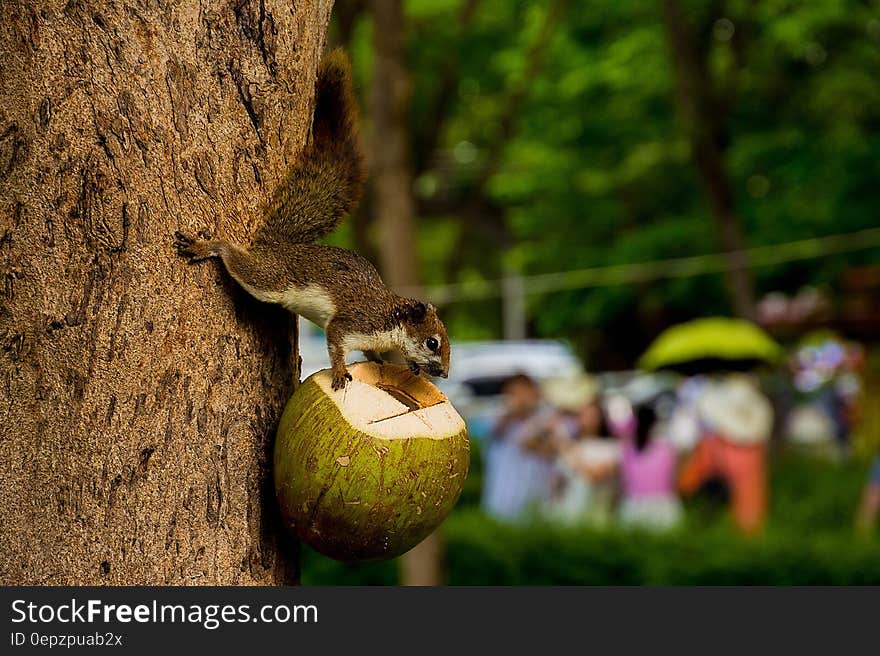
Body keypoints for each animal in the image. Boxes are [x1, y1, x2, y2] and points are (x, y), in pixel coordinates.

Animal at [174, 51, 446, 392]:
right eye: (433, 342)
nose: (444, 373)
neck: (389, 318)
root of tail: (280, 246)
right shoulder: (356, 321)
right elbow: (337, 340)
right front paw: (341, 371)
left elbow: (370, 352)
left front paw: (380, 362)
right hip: (273, 278)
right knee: (243, 265)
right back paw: (210, 246)